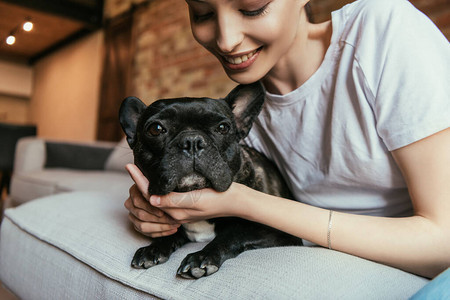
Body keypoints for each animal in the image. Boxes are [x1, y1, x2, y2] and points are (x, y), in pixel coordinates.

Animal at [119, 82, 302, 278]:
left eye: (223, 128)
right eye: (156, 129)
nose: (192, 141)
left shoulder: (278, 232)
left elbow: (235, 233)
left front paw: (203, 256)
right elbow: (172, 232)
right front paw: (153, 248)